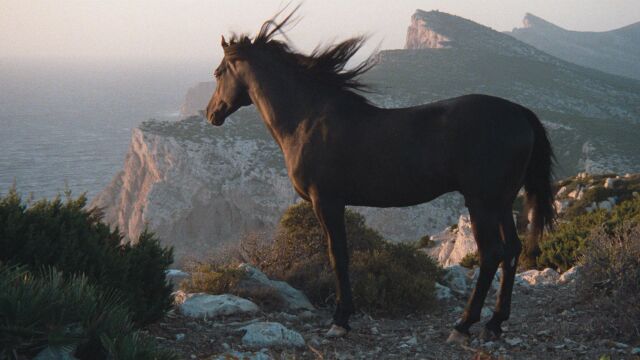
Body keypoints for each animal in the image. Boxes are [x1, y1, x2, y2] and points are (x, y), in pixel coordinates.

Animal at [206, 11, 556, 344]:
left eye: (218, 72)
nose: (211, 113)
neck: (307, 120)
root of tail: (520, 113)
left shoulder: (327, 201)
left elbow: (338, 256)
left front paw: (340, 320)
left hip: (482, 202)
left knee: (492, 254)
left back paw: (463, 325)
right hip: (502, 202)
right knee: (512, 250)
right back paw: (494, 323)